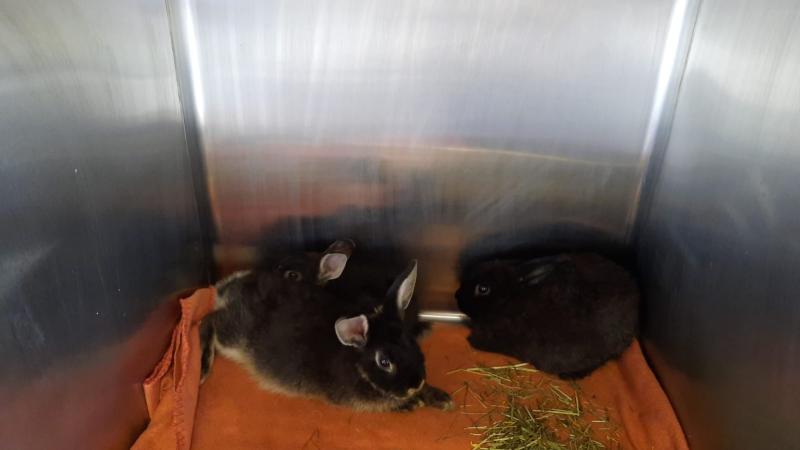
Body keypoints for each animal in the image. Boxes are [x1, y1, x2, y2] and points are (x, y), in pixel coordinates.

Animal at [202, 250, 453, 412]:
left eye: (413, 344)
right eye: (384, 362)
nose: (415, 384)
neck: (356, 362)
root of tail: (228, 287)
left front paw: (439, 396)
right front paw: (411, 403)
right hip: (233, 337)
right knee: (208, 320)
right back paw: (204, 366)